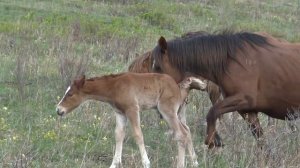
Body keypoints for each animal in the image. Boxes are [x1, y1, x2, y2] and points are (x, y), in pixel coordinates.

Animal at [55, 72, 206, 168]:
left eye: (70, 94)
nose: (58, 110)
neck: (114, 86)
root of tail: (178, 87)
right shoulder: (120, 112)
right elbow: (119, 135)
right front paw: (114, 164)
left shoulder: (132, 109)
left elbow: (138, 135)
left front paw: (146, 163)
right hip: (176, 112)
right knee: (187, 130)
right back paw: (195, 162)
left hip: (167, 110)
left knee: (181, 133)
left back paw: (181, 165)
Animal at [151, 30, 300, 148]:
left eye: (158, 67)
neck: (231, 61)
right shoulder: (248, 111)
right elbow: (261, 141)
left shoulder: (243, 100)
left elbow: (212, 112)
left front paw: (214, 140)